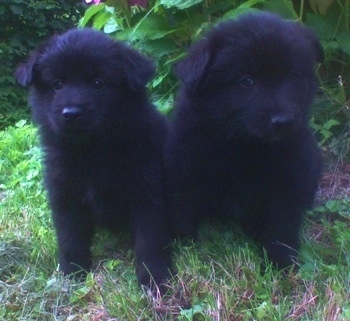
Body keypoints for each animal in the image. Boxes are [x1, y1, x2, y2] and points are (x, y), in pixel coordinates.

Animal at [15, 28, 172, 286]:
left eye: (98, 83)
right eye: (57, 84)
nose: (71, 113)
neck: (93, 150)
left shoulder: (147, 193)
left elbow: (150, 241)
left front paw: (154, 278)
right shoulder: (65, 195)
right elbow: (70, 237)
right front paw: (72, 271)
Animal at [165, 12, 324, 268]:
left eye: (292, 76)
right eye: (247, 81)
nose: (284, 121)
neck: (243, 145)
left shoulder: (288, 180)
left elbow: (282, 225)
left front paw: (281, 262)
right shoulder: (185, 170)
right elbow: (183, 212)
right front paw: (186, 246)